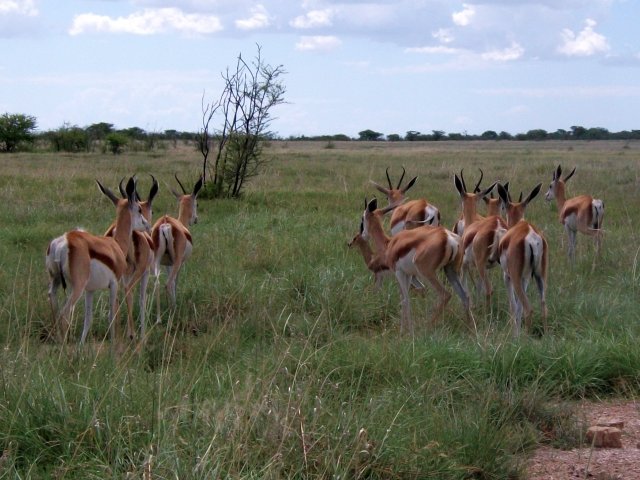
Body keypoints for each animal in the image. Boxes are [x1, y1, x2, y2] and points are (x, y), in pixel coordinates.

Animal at [46, 176, 150, 344]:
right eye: (139, 209)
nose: (147, 224)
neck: (116, 245)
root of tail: (64, 241)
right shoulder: (114, 284)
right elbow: (111, 315)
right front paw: (114, 343)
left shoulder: (90, 290)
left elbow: (88, 319)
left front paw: (81, 345)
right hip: (77, 287)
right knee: (65, 313)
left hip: (56, 282)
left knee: (53, 304)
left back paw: (58, 340)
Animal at [102, 174, 159, 340]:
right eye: (141, 209)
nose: (148, 226)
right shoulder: (144, 272)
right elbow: (141, 299)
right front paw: (141, 334)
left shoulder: (125, 274)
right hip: (137, 272)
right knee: (128, 291)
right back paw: (133, 335)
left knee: (117, 299)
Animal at [151, 174, 201, 314]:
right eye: (197, 203)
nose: (195, 219)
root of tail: (165, 223)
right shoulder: (179, 263)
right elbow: (175, 282)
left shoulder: (168, 264)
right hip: (177, 261)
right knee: (168, 284)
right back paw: (173, 310)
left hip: (156, 260)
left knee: (157, 283)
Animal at [360, 197, 470, 336]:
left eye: (362, 219)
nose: (363, 235)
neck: (389, 244)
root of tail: (447, 237)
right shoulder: (408, 274)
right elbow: (404, 298)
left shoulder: (399, 272)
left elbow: (405, 299)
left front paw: (405, 331)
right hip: (450, 271)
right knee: (465, 296)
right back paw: (470, 328)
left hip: (428, 273)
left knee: (445, 295)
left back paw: (427, 326)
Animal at [498, 184, 548, 338]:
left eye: (504, 207)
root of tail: (531, 235)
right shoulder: (525, 278)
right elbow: (518, 306)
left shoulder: (507, 276)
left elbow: (514, 306)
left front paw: (515, 335)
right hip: (540, 276)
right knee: (543, 307)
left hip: (515, 277)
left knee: (528, 308)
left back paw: (525, 339)